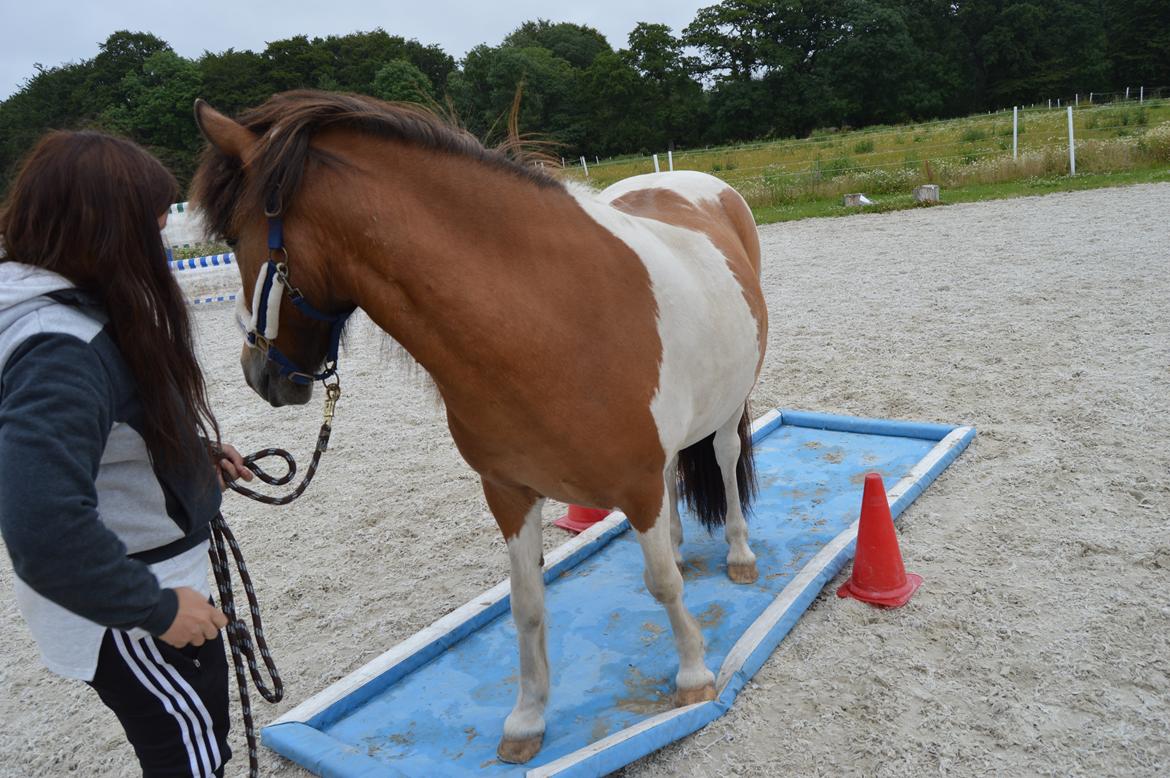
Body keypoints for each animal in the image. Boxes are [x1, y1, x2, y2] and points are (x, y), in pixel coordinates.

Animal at [189, 89, 767, 758]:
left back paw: (739, 552)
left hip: (729, 406)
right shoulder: (509, 493)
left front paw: (694, 673)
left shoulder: (636, 482)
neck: (548, 318)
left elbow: (663, 585)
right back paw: (676, 540)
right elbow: (528, 605)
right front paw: (527, 718)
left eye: (235, 235)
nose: (258, 372)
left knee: (723, 461)